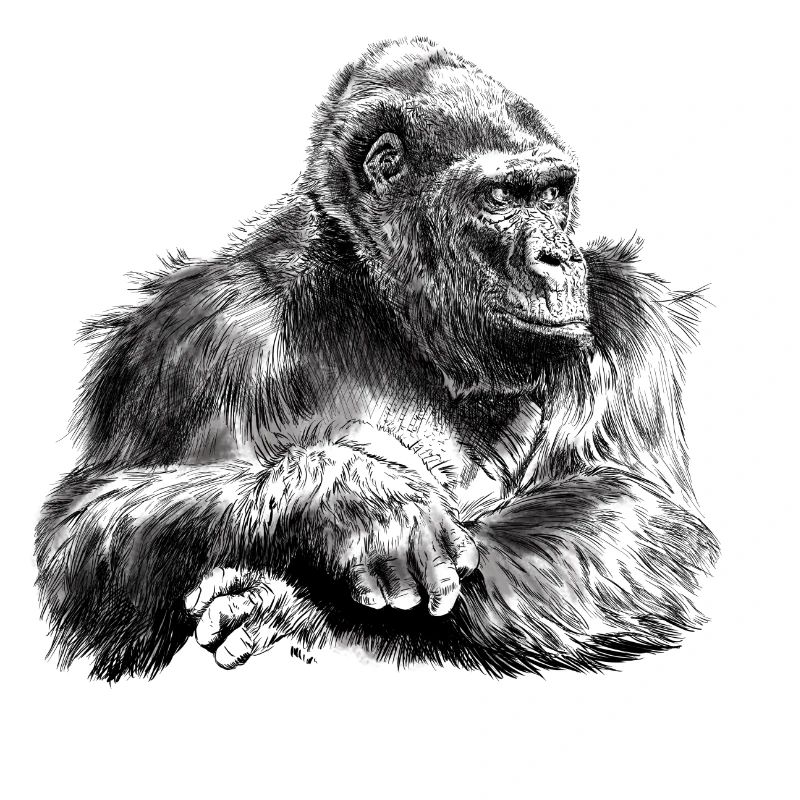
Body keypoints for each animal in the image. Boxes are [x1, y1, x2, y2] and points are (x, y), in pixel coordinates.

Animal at [36, 37, 718, 680]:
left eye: (553, 193)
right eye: (502, 197)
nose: (560, 257)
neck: (380, 302)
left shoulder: (629, 318)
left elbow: (645, 522)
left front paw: (298, 604)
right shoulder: (194, 332)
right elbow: (83, 536)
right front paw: (353, 500)